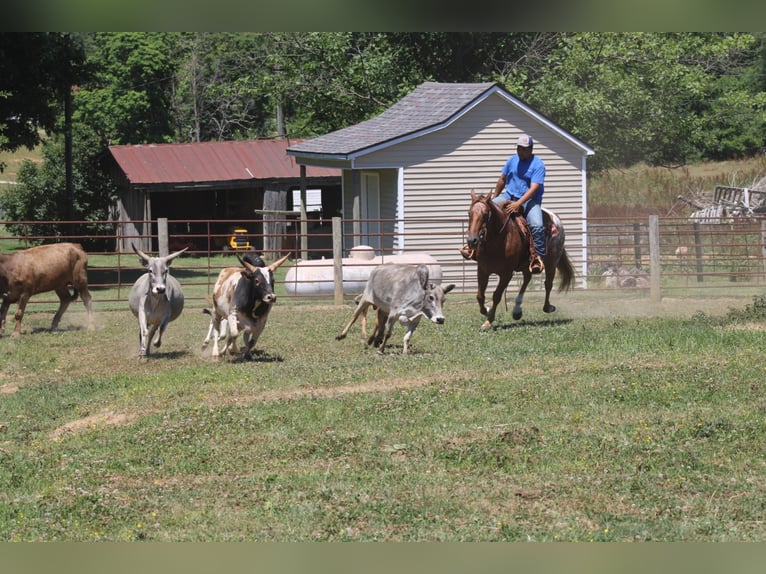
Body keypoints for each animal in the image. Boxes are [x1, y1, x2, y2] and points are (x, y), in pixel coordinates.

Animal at [462, 190, 576, 330]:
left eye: (485, 214)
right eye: (469, 213)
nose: (472, 240)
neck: (497, 240)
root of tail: (556, 219)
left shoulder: (506, 274)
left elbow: (496, 295)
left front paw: (489, 321)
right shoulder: (483, 270)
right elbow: (479, 295)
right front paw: (487, 311)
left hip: (552, 261)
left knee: (548, 284)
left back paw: (547, 307)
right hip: (527, 265)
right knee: (527, 279)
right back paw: (517, 310)